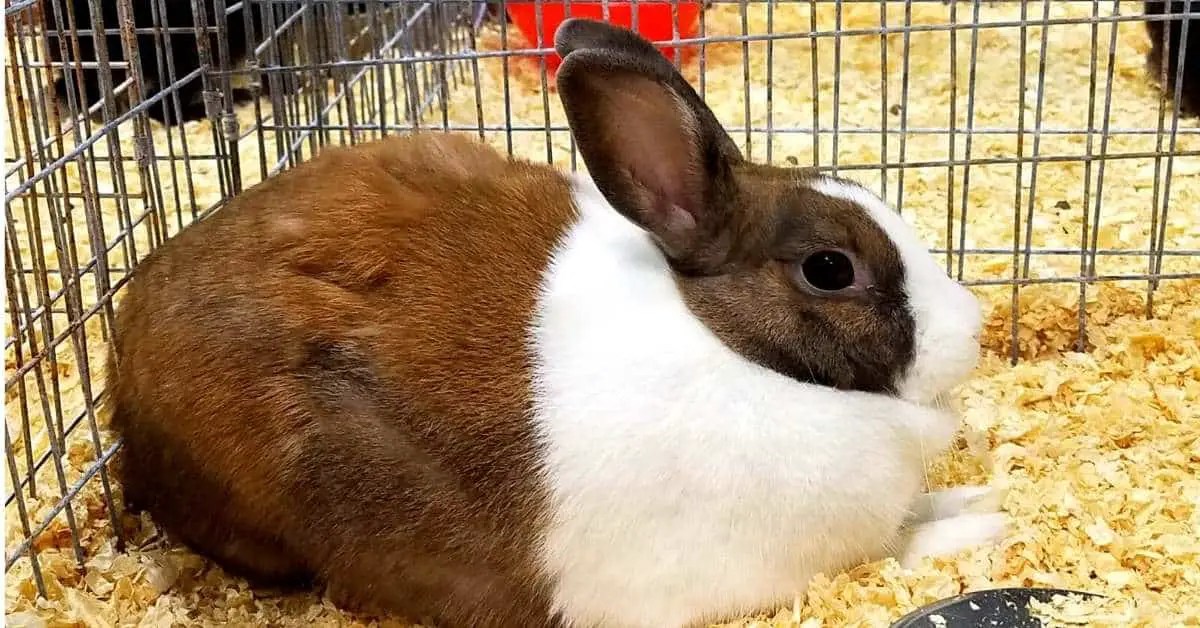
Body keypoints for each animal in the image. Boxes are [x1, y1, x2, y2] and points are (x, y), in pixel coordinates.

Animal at [106, 17, 1007, 628]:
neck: (732, 347)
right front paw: (984, 523)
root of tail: (124, 372)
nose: (973, 326)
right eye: (829, 269)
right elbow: (904, 544)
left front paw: (978, 495)